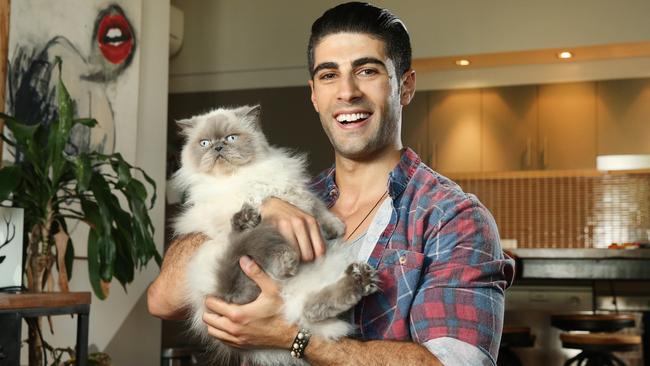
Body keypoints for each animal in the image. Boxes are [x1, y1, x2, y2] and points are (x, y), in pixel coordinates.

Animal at [171, 104, 380, 364]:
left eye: (231, 138)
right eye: (205, 143)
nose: (218, 147)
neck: (241, 177)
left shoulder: (292, 191)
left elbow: (317, 208)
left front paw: (336, 228)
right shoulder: (225, 212)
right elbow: (261, 213)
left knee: (311, 310)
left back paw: (360, 279)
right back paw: (282, 258)